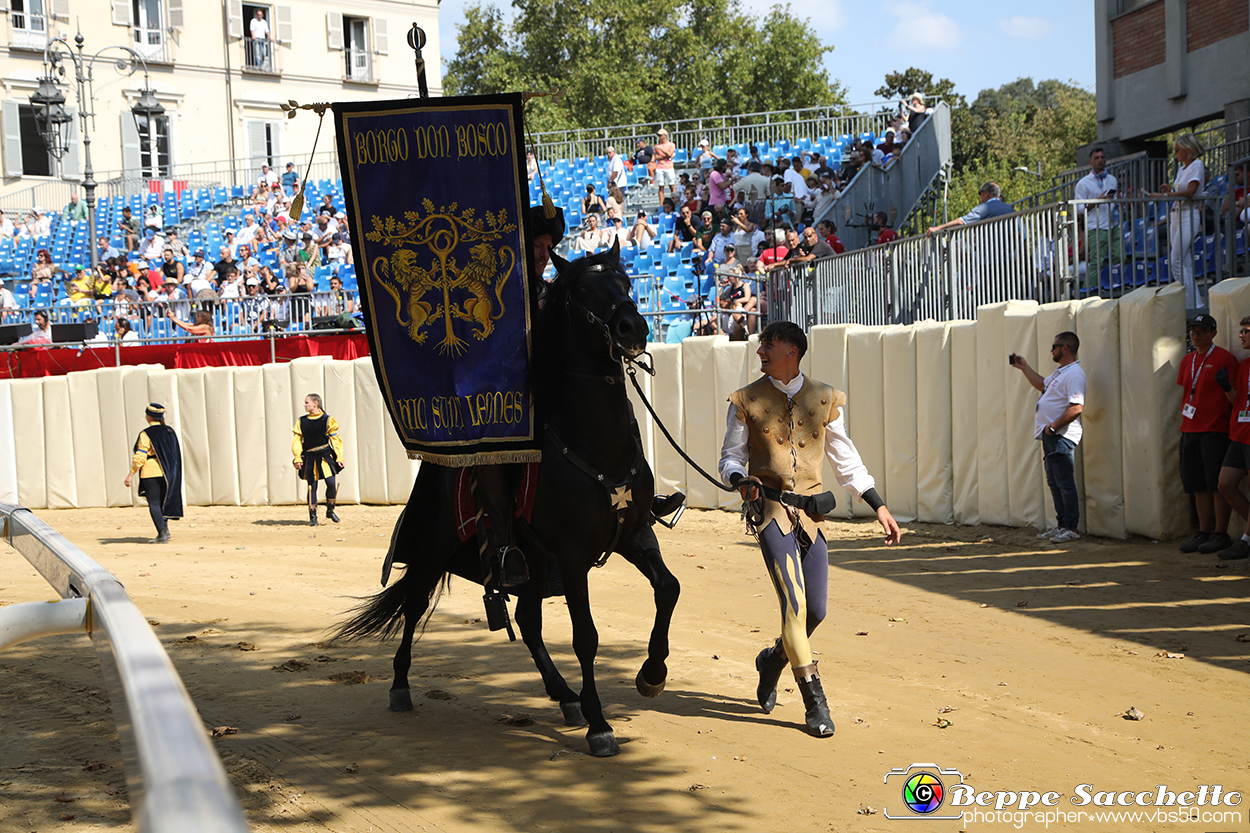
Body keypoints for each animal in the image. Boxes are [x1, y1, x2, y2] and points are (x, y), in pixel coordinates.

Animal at [337, 238, 680, 750]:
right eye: (582, 290)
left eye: (624, 280)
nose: (632, 327)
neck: (594, 444)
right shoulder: (573, 556)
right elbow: (586, 637)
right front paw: (600, 725)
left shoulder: (633, 534)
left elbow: (668, 589)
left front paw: (651, 675)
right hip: (434, 550)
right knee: (415, 604)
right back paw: (400, 686)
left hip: (532, 561)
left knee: (528, 620)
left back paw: (565, 696)